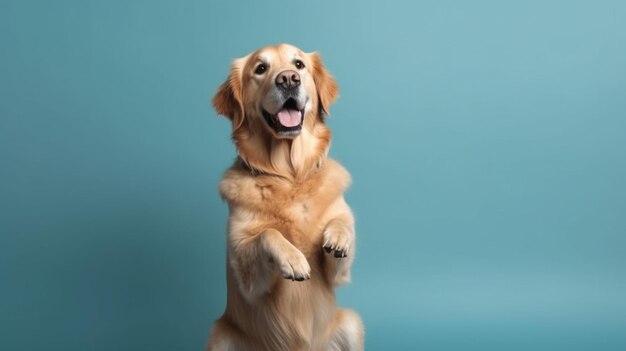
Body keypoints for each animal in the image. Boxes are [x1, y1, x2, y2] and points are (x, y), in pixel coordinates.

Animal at [206, 44, 360, 351]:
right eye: (260, 69)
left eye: (298, 64)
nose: (288, 79)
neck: (290, 177)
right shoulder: (247, 276)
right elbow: (268, 234)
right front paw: (293, 259)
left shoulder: (338, 274)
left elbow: (342, 223)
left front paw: (338, 237)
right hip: (219, 336)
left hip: (351, 323)